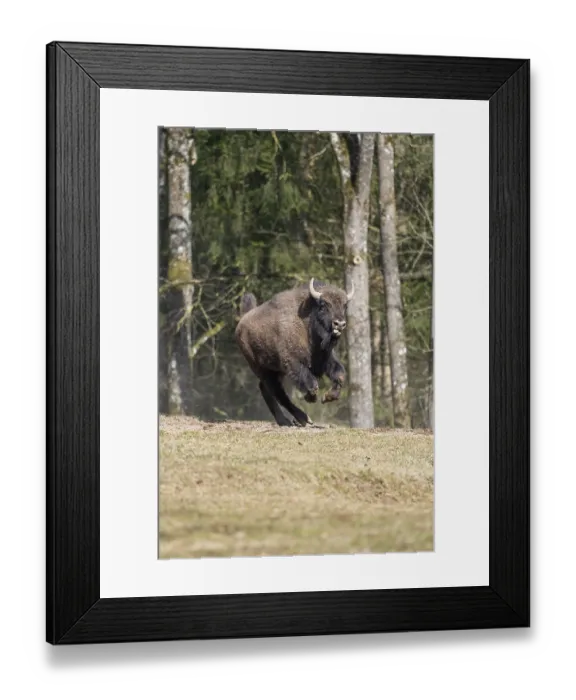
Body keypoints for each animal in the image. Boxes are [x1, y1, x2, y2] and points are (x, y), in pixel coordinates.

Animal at [235, 278, 353, 427]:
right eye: (323, 305)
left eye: (344, 305)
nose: (340, 324)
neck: (306, 323)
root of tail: (243, 319)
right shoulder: (293, 363)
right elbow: (312, 384)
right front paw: (310, 398)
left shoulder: (326, 359)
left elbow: (340, 375)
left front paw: (327, 397)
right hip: (262, 369)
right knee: (277, 392)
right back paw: (302, 418)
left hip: (276, 371)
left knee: (266, 389)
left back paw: (284, 420)